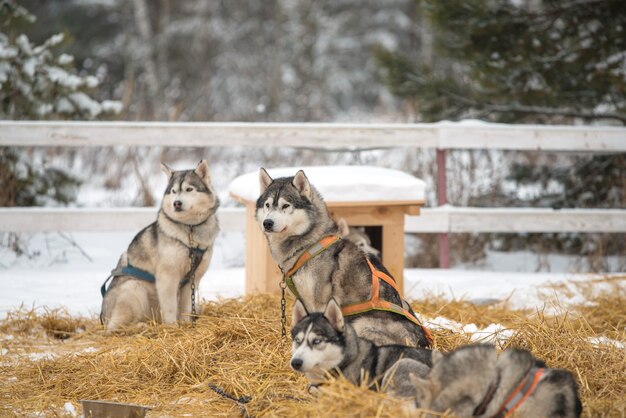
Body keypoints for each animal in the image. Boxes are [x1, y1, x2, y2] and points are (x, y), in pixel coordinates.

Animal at [100, 161, 219, 334]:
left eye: (189, 189)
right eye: (174, 191)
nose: (177, 203)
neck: (190, 229)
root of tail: (103, 316)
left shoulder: (193, 278)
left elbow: (185, 306)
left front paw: (186, 324)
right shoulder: (167, 277)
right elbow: (170, 307)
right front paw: (172, 327)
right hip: (133, 288)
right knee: (113, 329)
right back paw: (139, 327)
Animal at [256, 168, 432, 348]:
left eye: (285, 205)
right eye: (267, 205)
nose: (267, 223)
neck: (309, 243)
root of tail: (423, 342)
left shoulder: (319, 302)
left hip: (362, 323)